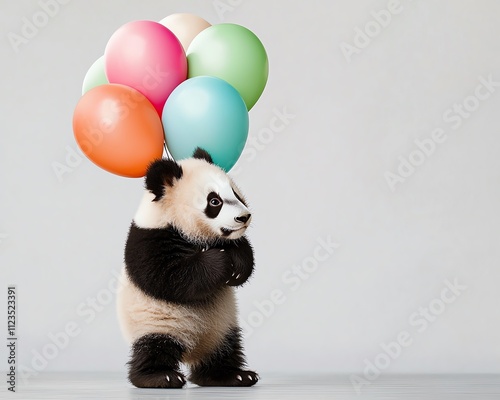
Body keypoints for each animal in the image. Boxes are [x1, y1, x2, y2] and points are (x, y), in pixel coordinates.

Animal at [116, 147, 258, 388]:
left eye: (235, 193)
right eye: (214, 201)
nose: (244, 217)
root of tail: (192, 350)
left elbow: (242, 249)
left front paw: (237, 266)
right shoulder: (148, 239)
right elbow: (168, 277)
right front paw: (220, 261)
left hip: (222, 326)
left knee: (224, 350)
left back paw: (233, 375)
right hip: (154, 323)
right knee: (153, 347)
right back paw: (159, 376)